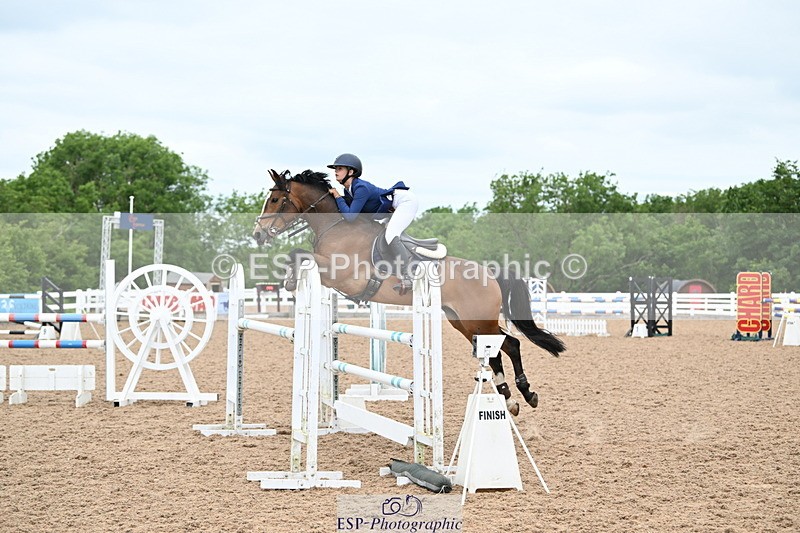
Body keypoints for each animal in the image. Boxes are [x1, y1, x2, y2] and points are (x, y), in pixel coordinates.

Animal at [252, 169, 565, 416]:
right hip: (462, 322)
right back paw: (512, 398)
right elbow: (298, 255)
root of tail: (490, 273)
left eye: (276, 200)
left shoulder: (343, 274)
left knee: (510, 344)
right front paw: (290, 281)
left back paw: (524, 393)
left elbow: (298, 253)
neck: (335, 226)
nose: (258, 234)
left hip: (478, 319)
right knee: (500, 349)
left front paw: (290, 280)